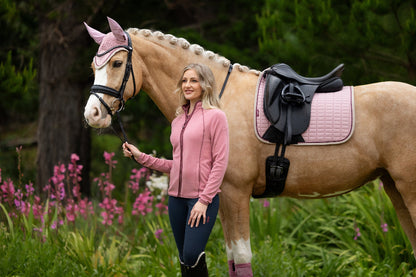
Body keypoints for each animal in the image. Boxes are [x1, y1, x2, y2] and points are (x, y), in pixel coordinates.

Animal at [83, 18, 416, 274]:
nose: (92, 114)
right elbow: (232, 258)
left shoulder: (235, 193)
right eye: (93, 66)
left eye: (116, 62)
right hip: (393, 187)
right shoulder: (222, 197)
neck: (217, 98)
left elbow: (242, 258)